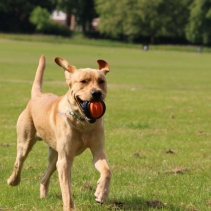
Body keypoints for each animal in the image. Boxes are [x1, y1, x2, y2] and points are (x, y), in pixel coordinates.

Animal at [7, 55, 111, 210]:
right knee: (19, 162)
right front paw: (69, 207)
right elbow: (66, 189)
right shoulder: (65, 160)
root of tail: (37, 96)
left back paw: (43, 195)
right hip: (25, 142)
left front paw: (101, 193)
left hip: (55, 154)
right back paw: (13, 181)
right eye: (83, 81)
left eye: (101, 81)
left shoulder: (98, 151)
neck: (82, 123)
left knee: (45, 176)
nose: (96, 93)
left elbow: (107, 171)